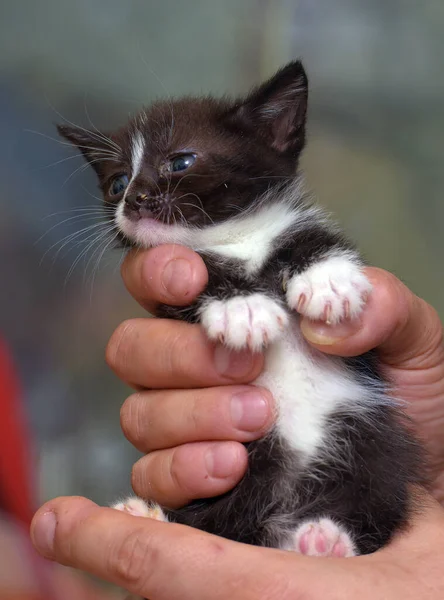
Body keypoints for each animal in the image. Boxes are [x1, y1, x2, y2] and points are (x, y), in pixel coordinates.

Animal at [58, 62, 424, 564]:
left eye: (180, 162)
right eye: (117, 182)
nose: (135, 198)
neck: (235, 241)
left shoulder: (293, 226)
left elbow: (313, 238)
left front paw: (328, 281)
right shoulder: (178, 277)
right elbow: (200, 279)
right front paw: (243, 309)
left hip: (372, 452)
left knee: (370, 502)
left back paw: (327, 542)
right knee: (222, 522)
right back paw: (149, 515)